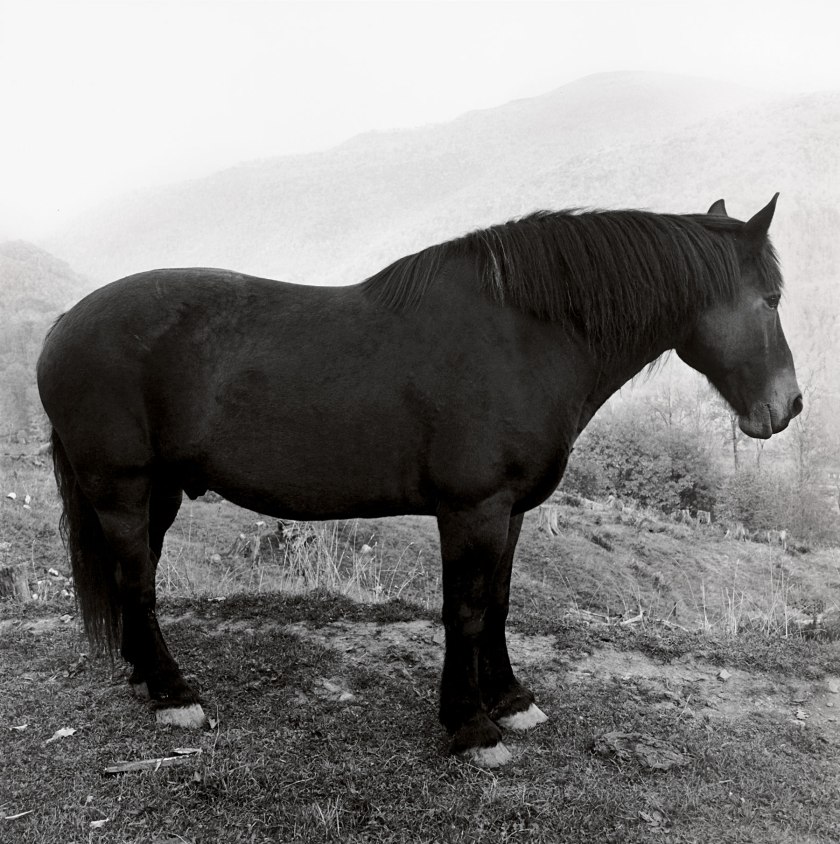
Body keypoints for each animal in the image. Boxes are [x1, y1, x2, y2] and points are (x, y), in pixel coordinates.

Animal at [37, 195, 801, 767]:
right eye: (769, 299)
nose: (789, 407)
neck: (522, 337)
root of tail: (63, 325)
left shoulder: (510, 511)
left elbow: (497, 604)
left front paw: (511, 701)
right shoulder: (473, 509)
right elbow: (464, 609)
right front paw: (470, 727)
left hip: (156, 493)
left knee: (134, 578)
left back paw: (146, 677)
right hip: (121, 488)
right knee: (136, 581)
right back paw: (175, 695)